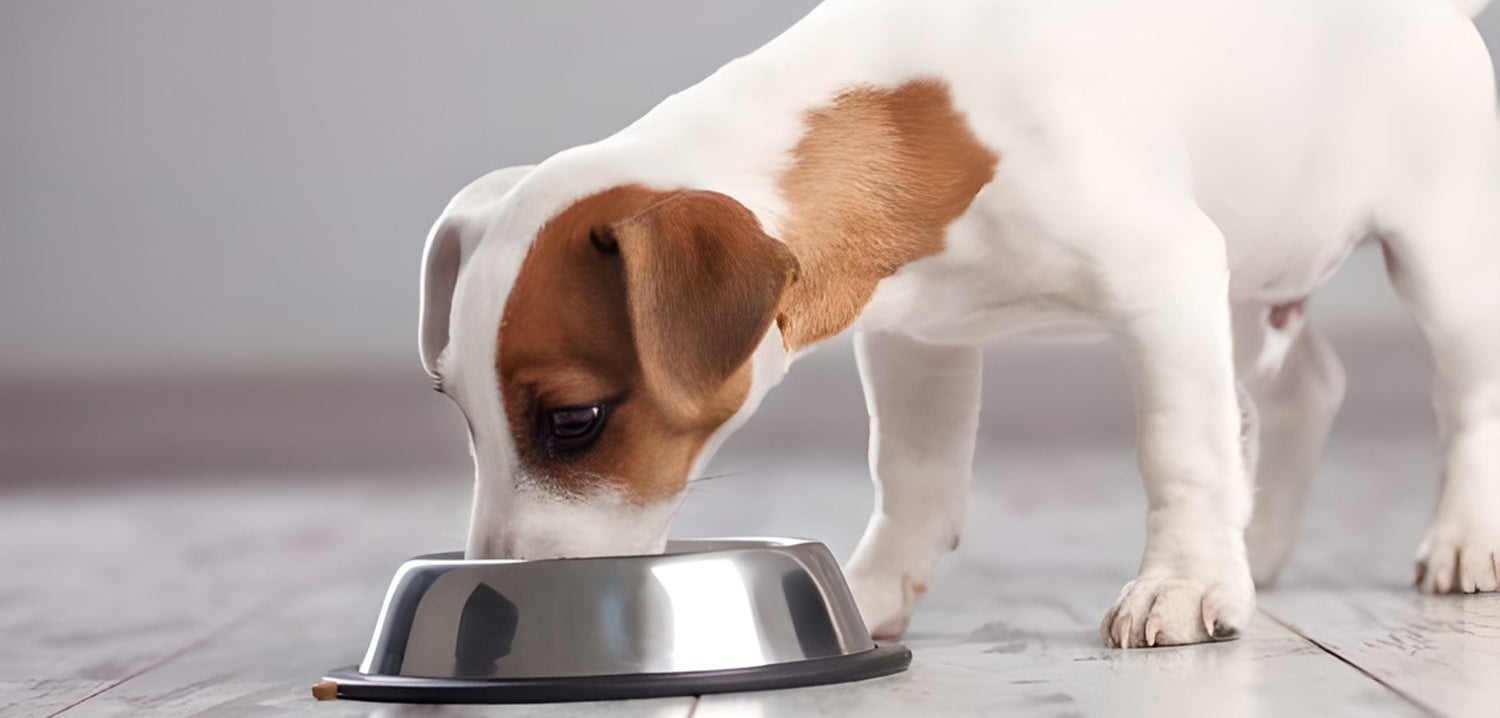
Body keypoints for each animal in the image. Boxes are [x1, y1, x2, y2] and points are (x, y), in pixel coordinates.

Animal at [417, 0, 1500, 653]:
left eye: (575, 421)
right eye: (458, 414)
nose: (499, 594)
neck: (918, 122)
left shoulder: (1165, 278)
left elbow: (1178, 450)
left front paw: (1184, 584)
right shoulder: (916, 341)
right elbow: (915, 475)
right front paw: (872, 588)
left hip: (1438, 258)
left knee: (1466, 398)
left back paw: (1463, 538)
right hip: (1250, 286)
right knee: (1305, 386)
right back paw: (1260, 540)